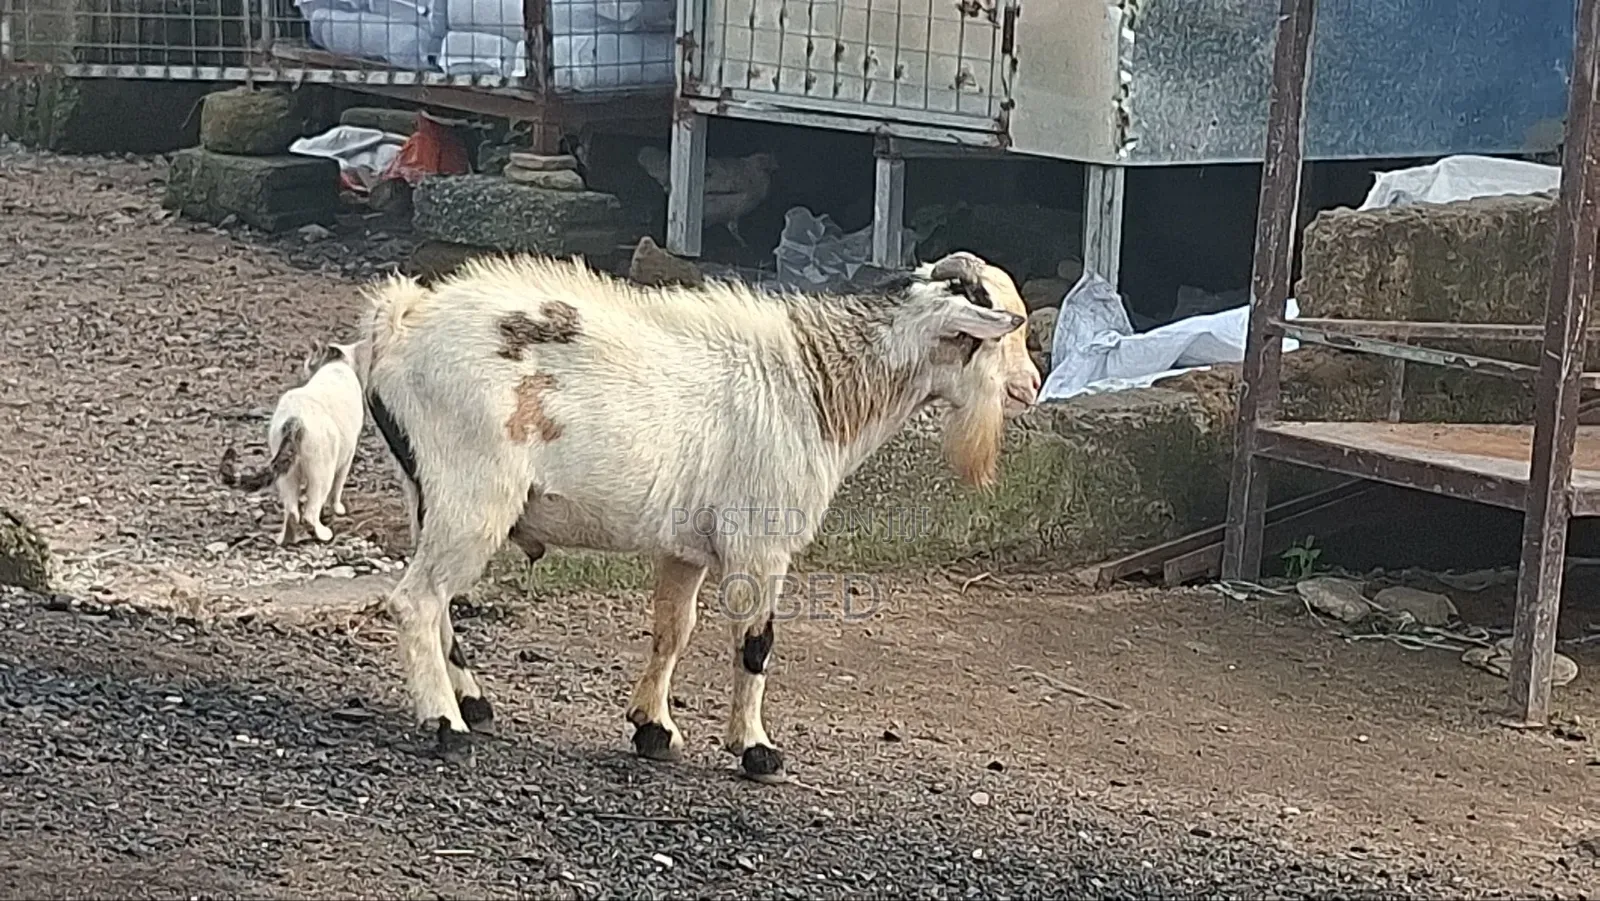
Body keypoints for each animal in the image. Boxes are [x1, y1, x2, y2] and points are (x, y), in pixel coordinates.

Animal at [220, 341, 369, 544]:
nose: (304, 367)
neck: (335, 364)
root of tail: (296, 418)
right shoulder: (348, 454)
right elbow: (338, 488)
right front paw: (337, 508)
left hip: (286, 473)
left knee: (292, 510)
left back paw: (286, 538)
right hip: (323, 470)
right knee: (310, 512)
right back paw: (323, 533)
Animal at [356, 251, 1037, 780]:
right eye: (1000, 332)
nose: (1031, 385)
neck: (813, 386)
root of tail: (401, 323)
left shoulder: (683, 549)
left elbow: (671, 631)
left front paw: (652, 729)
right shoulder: (760, 544)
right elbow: (756, 643)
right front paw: (757, 751)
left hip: (427, 496)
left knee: (439, 600)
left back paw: (473, 704)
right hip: (474, 494)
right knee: (417, 600)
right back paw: (446, 725)